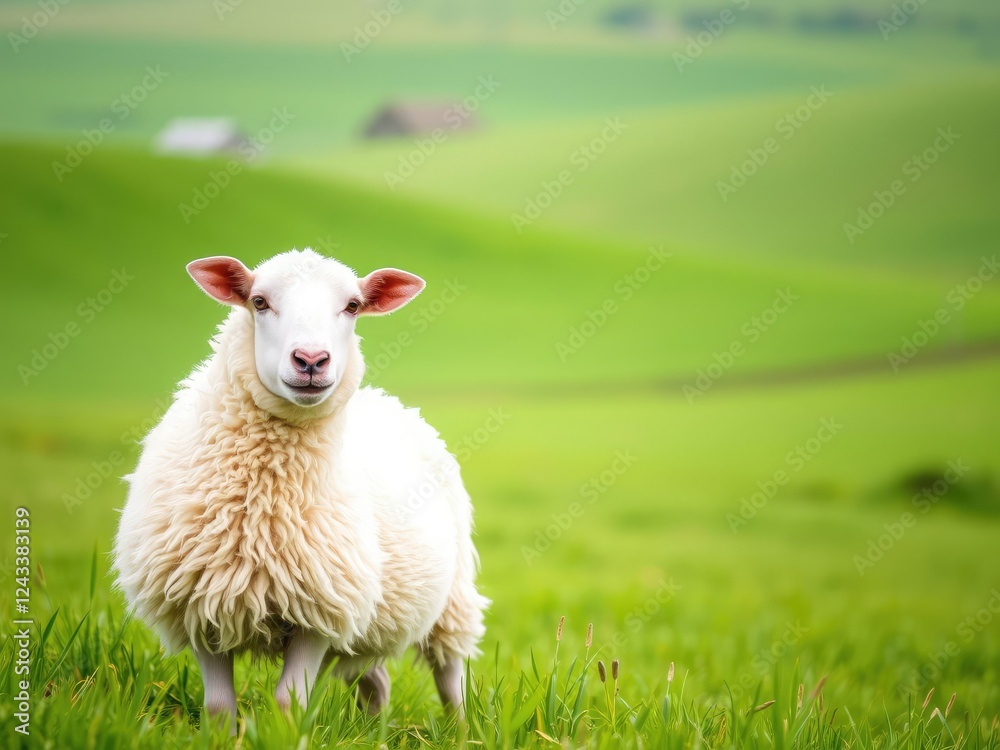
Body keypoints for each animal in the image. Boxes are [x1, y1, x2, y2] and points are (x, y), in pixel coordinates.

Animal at [113, 248, 488, 727]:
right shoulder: (199, 605)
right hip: (369, 623)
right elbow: (217, 707)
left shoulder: (320, 612)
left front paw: (282, 733)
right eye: (258, 301)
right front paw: (222, 734)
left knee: (450, 676)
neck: (262, 503)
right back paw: (373, 732)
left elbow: (288, 701)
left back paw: (462, 730)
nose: (311, 360)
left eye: (352, 306)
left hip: (451, 598)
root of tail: (390, 401)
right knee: (377, 680)